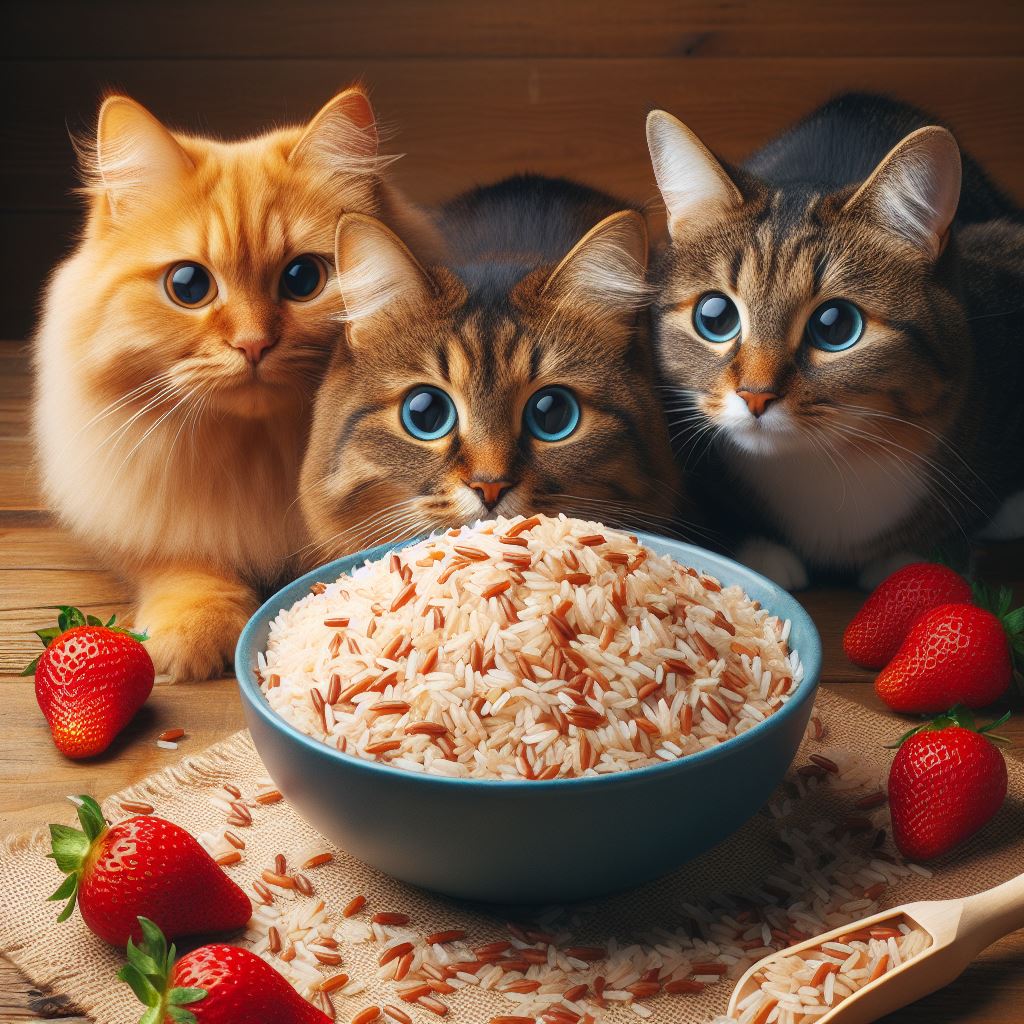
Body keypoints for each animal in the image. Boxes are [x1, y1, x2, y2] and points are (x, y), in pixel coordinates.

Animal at [30, 88, 440, 679]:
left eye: (302, 279)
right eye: (188, 286)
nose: (252, 344)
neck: (261, 457)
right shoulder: (155, 522)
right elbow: (187, 566)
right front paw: (193, 632)